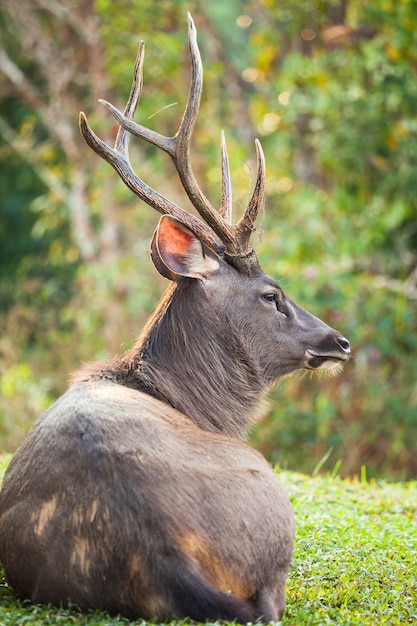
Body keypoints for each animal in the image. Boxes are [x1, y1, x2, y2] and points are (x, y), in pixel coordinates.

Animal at [0, 12, 350, 620]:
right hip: (270, 499)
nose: (340, 341)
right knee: (269, 600)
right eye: (272, 294)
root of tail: (157, 544)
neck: (194, 403)